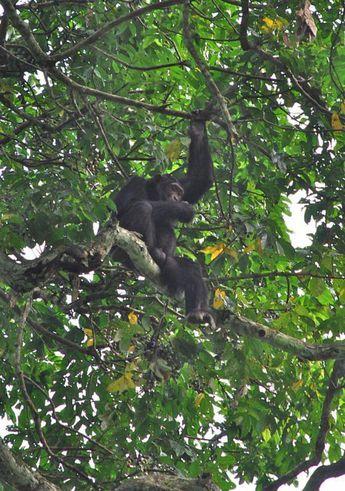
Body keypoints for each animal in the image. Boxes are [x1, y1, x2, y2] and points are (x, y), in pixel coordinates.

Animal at [114, 117, 214, 328]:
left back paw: (199, 312)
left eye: (179, 191)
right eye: (172, 189)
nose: (176, 198)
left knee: (191, 270)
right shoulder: (135, 182)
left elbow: (199, 181)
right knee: (143, 208)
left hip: (170, 266)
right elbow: (126, 206)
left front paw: (198, 130)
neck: (153, 191)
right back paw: (149, 251)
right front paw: (184, 209)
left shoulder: (187, 187)